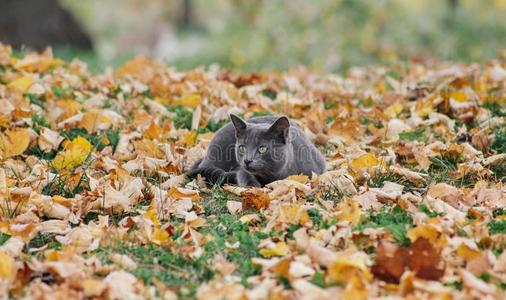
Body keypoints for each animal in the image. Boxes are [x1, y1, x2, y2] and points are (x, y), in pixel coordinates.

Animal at [188, 114, 326, 186]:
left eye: (262, 148)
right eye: (242, 148)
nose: (247, 160)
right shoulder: (240, 169)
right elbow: (243, 174)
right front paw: (253, 186)